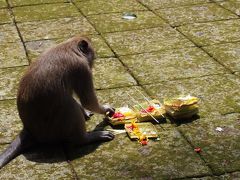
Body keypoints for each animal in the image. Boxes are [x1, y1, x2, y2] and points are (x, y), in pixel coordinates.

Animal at [0, 36, 115, 169]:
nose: (92, 63)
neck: (70, 47)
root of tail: (29, 129)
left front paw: (85, 112)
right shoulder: (81, 68)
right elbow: (88, 101)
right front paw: (105, 109)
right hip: (52, 130)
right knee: (69, 106)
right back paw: (85, 138)